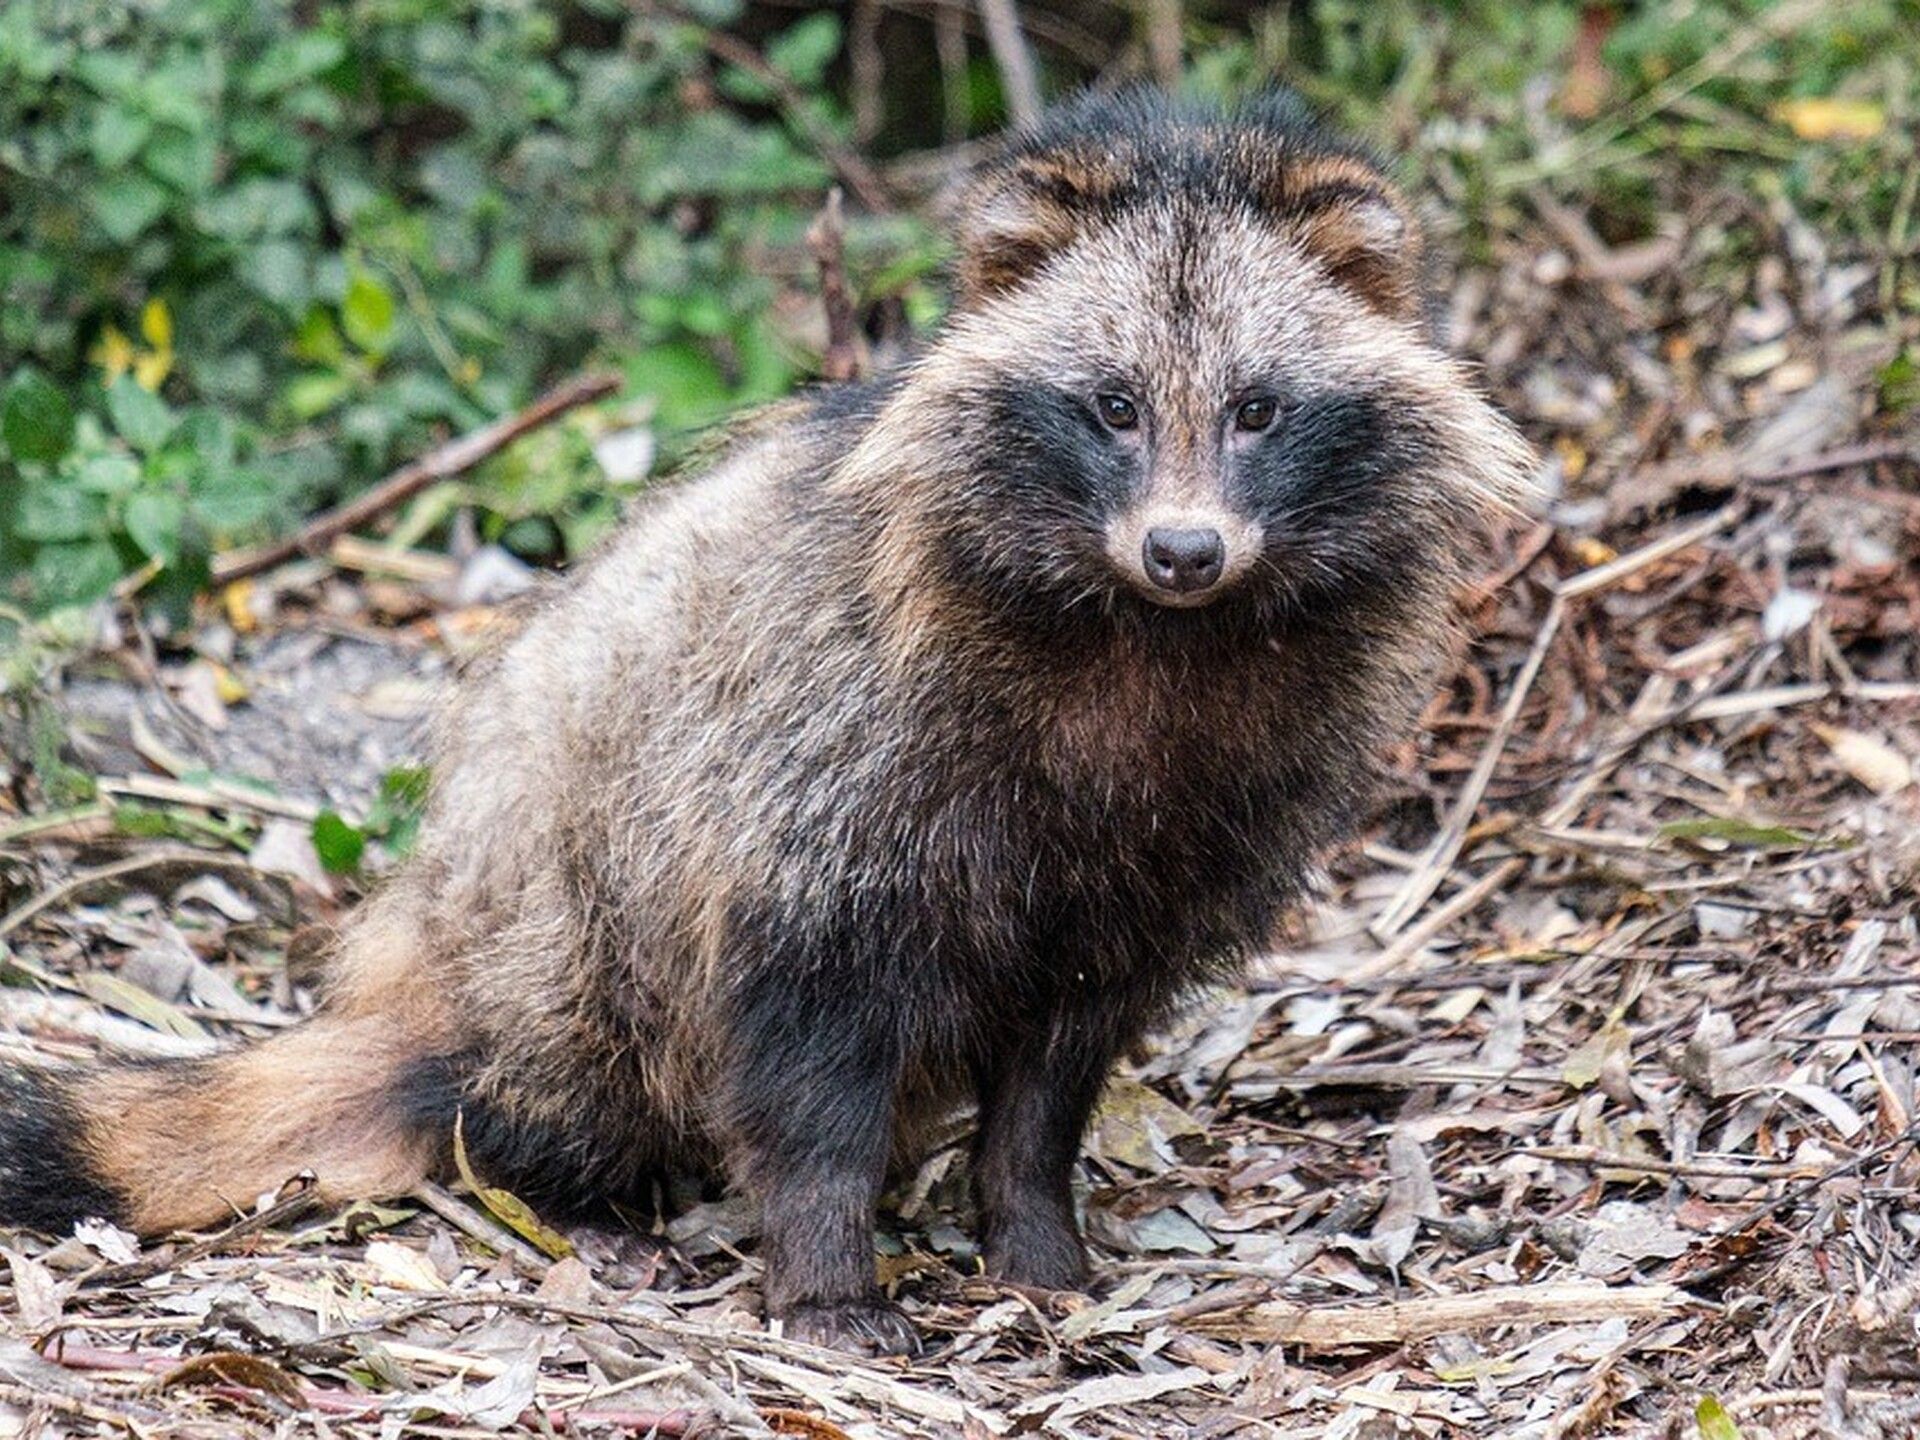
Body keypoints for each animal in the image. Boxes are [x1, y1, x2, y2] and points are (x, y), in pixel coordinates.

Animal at [0, 90, 1531, 1352]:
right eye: (1111, 406)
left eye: (1259, 410)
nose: (1186, 550)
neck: (1149, 637)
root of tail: (419, 967)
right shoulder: (822, 779)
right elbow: (806, 1056)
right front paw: (827, 1272)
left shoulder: (1189, 826)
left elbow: (1060, 1059)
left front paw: (1031, 1227)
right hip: (558, 897)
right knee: (565, 1043)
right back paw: (559, 1183)